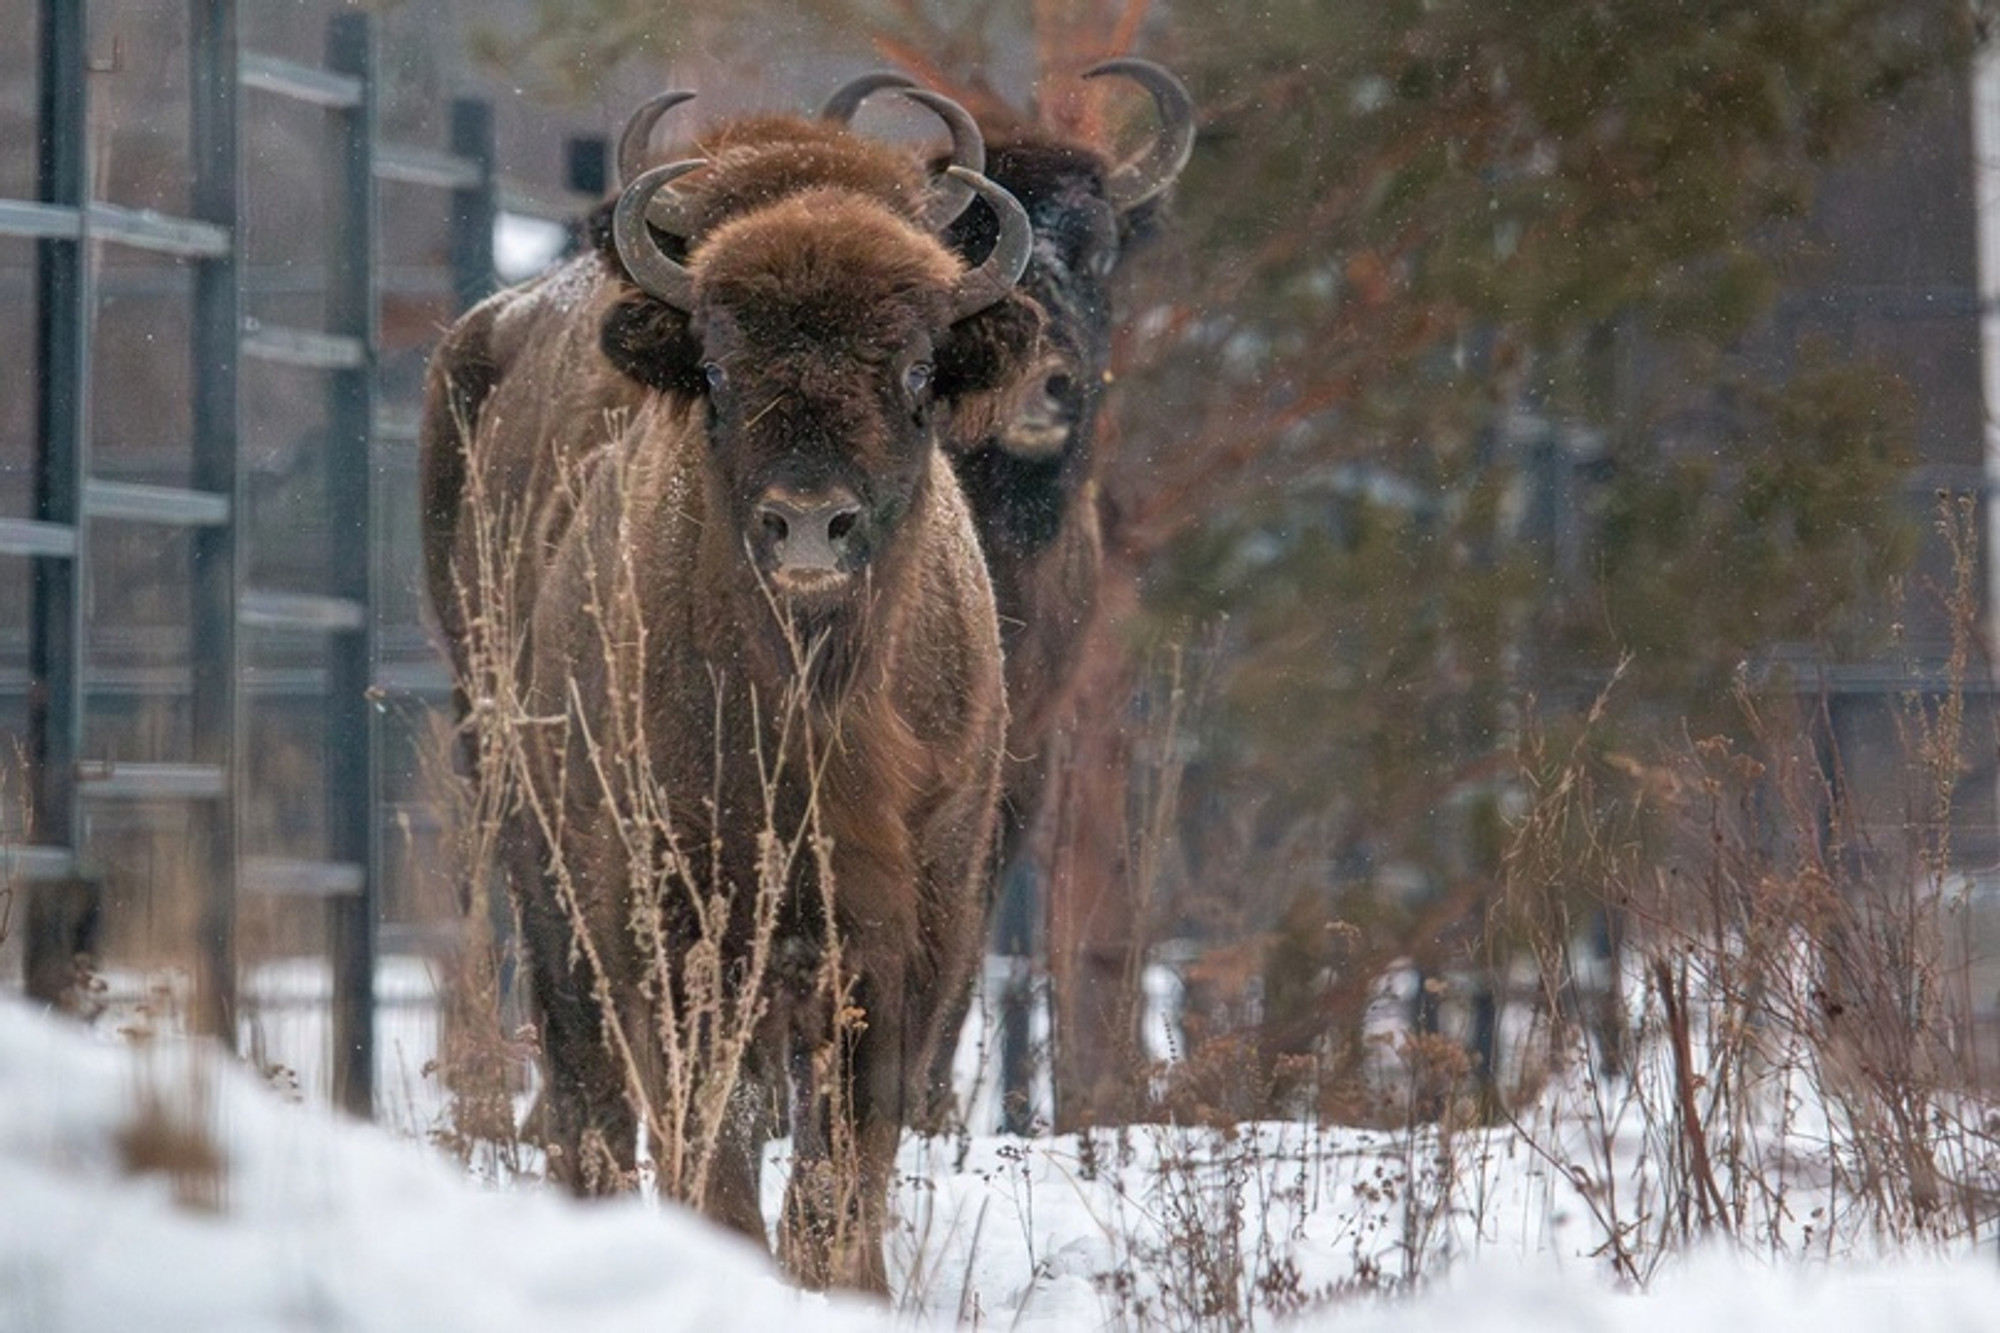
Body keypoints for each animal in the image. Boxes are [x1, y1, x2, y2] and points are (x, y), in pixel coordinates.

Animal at [424, 101, 1048, 1288]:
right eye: (715, 372)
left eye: (915, 374)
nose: (807, 523)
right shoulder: (680, 921)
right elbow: (713, 1126)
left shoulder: (913, 927)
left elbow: (847, 1145)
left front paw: (849, 1281)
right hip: (530, 842)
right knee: (586, 1088)